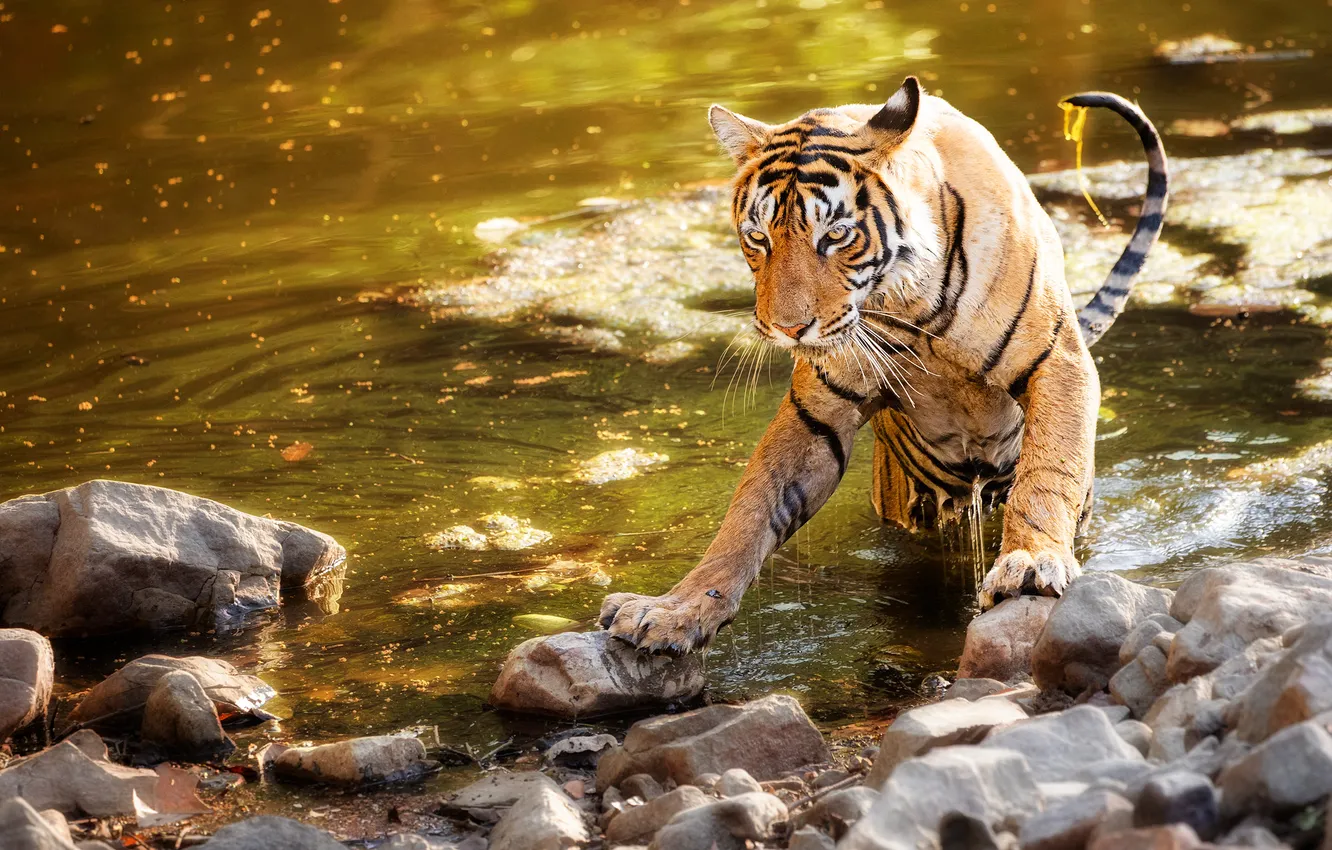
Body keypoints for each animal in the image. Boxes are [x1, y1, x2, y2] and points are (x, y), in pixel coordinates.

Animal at [599, 76, 1169, 655]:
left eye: (835, 235)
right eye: (758, 237)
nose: (787, 328)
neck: (907, 301)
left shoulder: (1058, 362)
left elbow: (1048, 475)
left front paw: (1030, 565)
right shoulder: (817, 409)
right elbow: (750, 512)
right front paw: (677, 610)